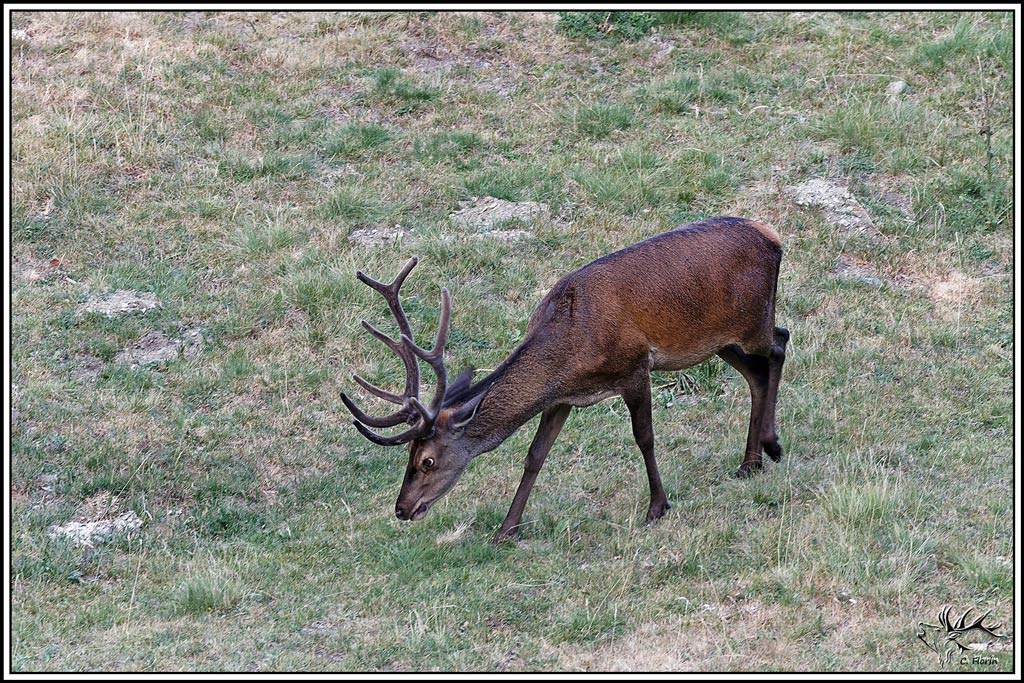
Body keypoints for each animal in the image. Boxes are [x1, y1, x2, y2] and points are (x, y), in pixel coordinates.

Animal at [341, 216, 789, 543]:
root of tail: (772, 236)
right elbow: (535, 455)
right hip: (717, 340)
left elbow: (644, 437)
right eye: (410, 455)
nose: (402, 508)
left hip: (753, 319)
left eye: (427, 460)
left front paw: (657, 507)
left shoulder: (634, 367)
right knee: (758, 371)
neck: (571, 350)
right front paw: (507, 529)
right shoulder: (561, 397)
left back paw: (771, 444)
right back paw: (750, 463)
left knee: (780, 345)